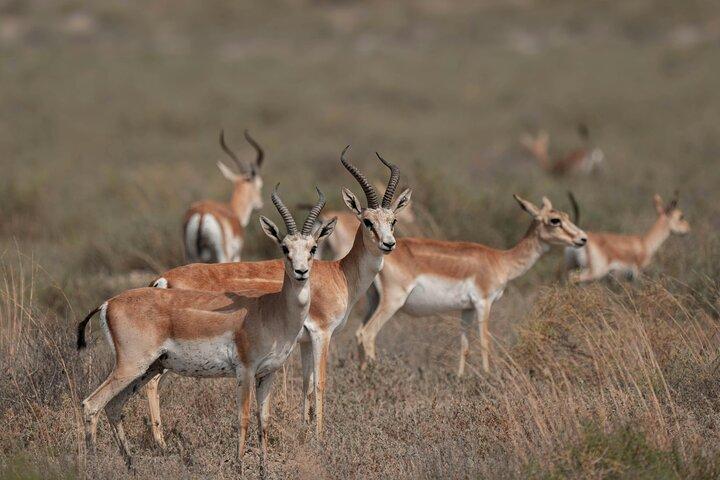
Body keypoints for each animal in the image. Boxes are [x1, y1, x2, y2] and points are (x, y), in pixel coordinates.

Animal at [77, 187, 335, 473]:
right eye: (285, 248)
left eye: (312, 248)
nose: (301, 272)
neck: (271, 310)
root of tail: (108, 302)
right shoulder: (245, 371)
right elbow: (243, 418)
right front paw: (239, 466)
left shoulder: (268, 374)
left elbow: (263, 421)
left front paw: (264, 469)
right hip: (131, 366)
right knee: (91, 404)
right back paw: (94, 465)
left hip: (148, 368)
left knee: (113, 406)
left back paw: (131, 465)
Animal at [145, 147, 411, 443]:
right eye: (367, 221)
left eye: (393, 220)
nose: (389, 243)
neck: (339, 273)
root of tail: (164, 279)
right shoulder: (321, 334)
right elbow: (321, 383)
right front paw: (320, 437)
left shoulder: (304, 342)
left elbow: (307, 384)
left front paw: (306, 429)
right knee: (151, 384)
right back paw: (160, 443)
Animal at [183, 129, 264, 263]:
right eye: (259, 184)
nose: (260, 205)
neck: (233, 210)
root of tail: (202, 214)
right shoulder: (236, 256)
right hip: (222, 255)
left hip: (191, 256)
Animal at [355, 195, 587, 376]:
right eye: (555, 220)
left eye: (567, 216)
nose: (582, 239)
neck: (500, 260)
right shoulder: (484, 303)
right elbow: (484, 342)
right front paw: (487, 376)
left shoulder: (466, 309)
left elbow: (464, 346)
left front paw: (460, 378)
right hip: (392, 301)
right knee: (368, 333)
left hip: (374, 301)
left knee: (358, 333)